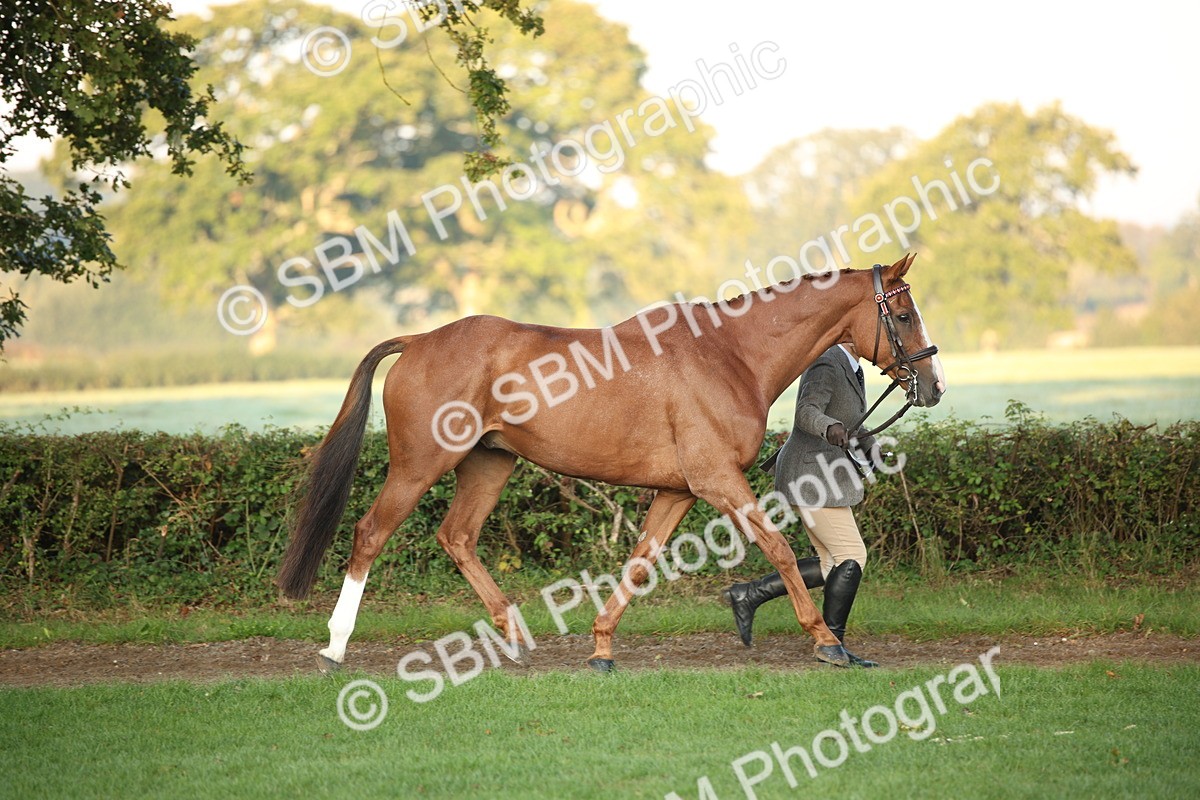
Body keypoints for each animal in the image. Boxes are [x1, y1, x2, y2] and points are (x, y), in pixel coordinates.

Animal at [276, 253, 945, 672]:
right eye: (903, 314)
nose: (933, 385)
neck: (729, 355)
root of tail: (419, 341)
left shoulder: (678, 491)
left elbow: (640, 562)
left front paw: (600, 647)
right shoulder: (717, 481)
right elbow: (779, 549)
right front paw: (826, 642)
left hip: (488, 464)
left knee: (457, 536)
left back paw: (513, 636)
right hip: (420, 465)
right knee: (370, 533)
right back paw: (335, 647)